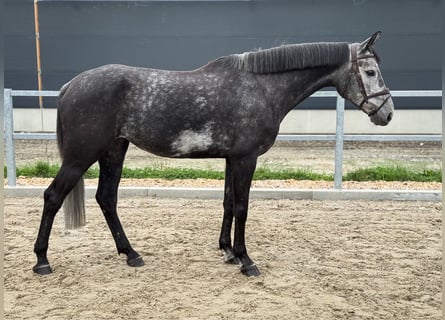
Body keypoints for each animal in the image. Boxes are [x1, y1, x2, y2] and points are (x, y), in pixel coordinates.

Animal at [33, 33, 392, 278]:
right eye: (370, 72)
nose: (387, 114)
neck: (260, 88)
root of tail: (71, 85)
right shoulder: (246, 158)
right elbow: (243, 207)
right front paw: (246, 260)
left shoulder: (232, 158)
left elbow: (228, 203)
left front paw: (228, 252)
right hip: (80, 157)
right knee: (53, 196)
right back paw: (42, 260)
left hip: (113, 151)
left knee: (107, 198)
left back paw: (131, 254)